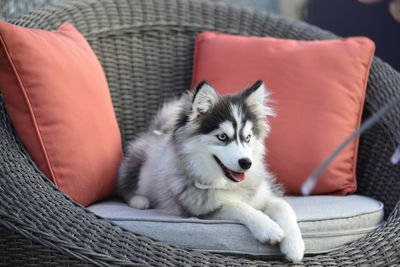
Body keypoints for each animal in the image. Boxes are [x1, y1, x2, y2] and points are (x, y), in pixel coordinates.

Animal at [117, 80, 304, 262]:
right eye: (222, 137)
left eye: (248, 138)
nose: (246, 163)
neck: (227, 184)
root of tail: (157, 131)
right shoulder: (202, 212)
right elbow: (236, 205)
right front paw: (268, 227)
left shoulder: (266, 194)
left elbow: (284, 206)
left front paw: (294, 245)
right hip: (140, 168)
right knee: (125, 186)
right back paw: (139, 200)